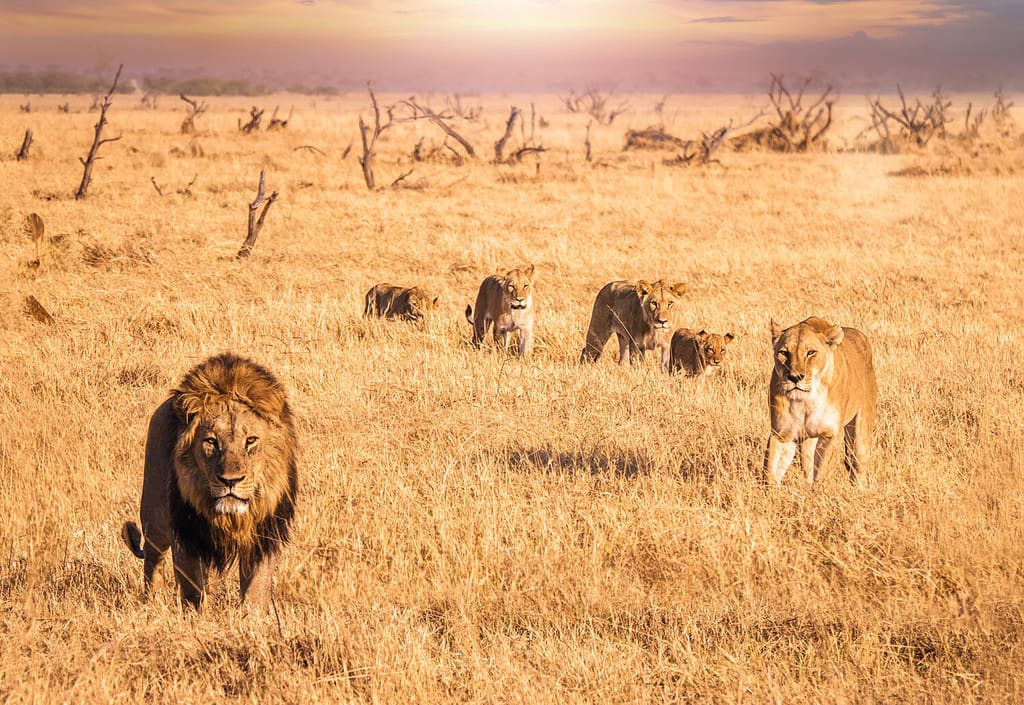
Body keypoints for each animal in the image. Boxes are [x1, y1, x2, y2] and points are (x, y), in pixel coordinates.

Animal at [121, 353, 298, 609]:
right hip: (155, 517)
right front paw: (197, 614)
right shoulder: (186, 534)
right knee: (153, 558)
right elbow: (193, 589)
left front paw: (253, 617)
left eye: (251, 440)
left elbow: (255, 591)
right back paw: (152, 601)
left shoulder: (263, 536)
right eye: (211, 441)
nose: (230, 481)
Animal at [764, 316, 877, 486]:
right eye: (783, 353)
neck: (805, 401)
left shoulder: (829, 434)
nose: (795, 377)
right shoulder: (782, 434)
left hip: (860, 433)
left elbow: (821, 472)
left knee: (857, 466)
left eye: (811, 353)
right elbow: (771, 471)